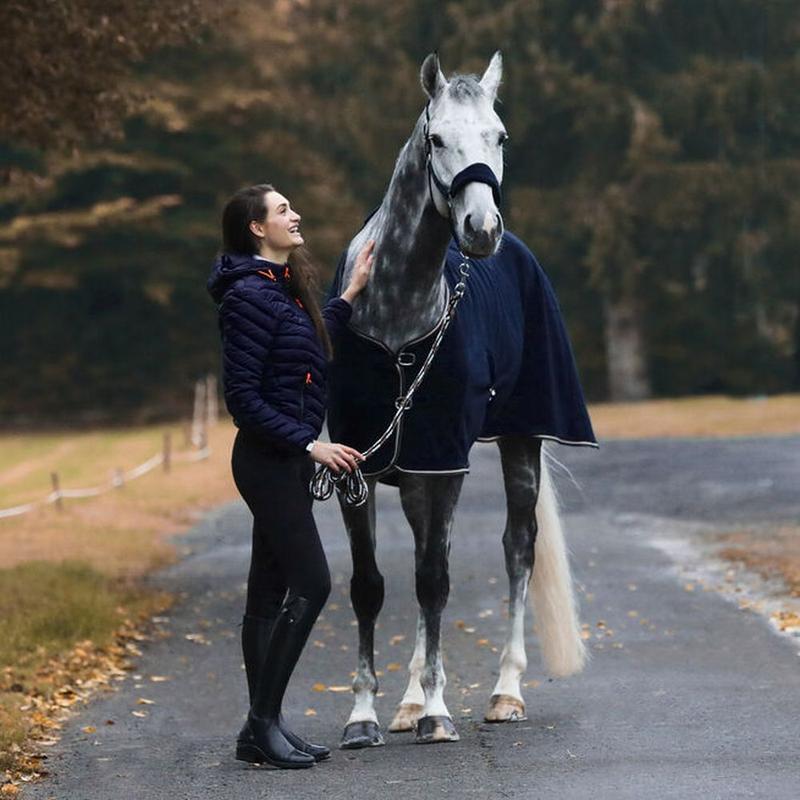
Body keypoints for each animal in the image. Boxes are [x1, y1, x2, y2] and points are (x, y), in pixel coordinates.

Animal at [324, 53, 592, 748]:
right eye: (438, 139)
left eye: (499, 136)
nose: (481, 228)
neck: (395, 316)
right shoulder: (360, 468)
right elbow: (371, 586)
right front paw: (364, 716)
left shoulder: (444, 464)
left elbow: (435, 582)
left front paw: (440, 713)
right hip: (418, 472)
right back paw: (409, 703)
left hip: (519, 442)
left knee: (517, 551)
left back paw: (504, 693)